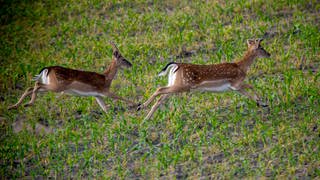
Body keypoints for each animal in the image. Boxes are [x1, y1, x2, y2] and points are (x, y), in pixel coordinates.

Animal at [8, 41, 137, 113]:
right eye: (123, 58)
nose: (131, 64)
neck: (106, 78)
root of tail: (47, 69)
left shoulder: (97, 95)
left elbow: (105, 109)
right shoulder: (104, 91)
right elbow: (120, 97)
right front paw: (137, 104)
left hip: (51, 86)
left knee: (30, 87)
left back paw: (14, 106)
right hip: (56, 86)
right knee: (37, 84)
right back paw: (28, 104)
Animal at [137, 39, 270, 121]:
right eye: (261, 48)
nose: (269, 54)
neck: (241, 67)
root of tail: (176, 65)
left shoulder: (234, 88)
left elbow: (248, 93)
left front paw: (261, 103)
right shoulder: (236, 83)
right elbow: (251, 86)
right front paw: (262, 102)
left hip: (174, 84)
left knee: (161, 98)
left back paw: (145, 118)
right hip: (183, 85)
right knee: (159, 89)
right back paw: (141, 107)